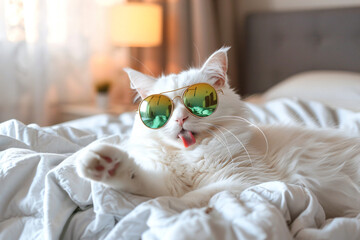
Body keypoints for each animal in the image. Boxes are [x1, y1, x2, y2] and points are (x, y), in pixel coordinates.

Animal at [76, 47, 360, 218]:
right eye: (159, 111)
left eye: (198, 102)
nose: (180, 118)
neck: (191, 158)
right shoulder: (166, 182)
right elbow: (142, 181)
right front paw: (103, 164)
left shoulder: (249, 181)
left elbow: (192, 197)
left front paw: (165, 210)